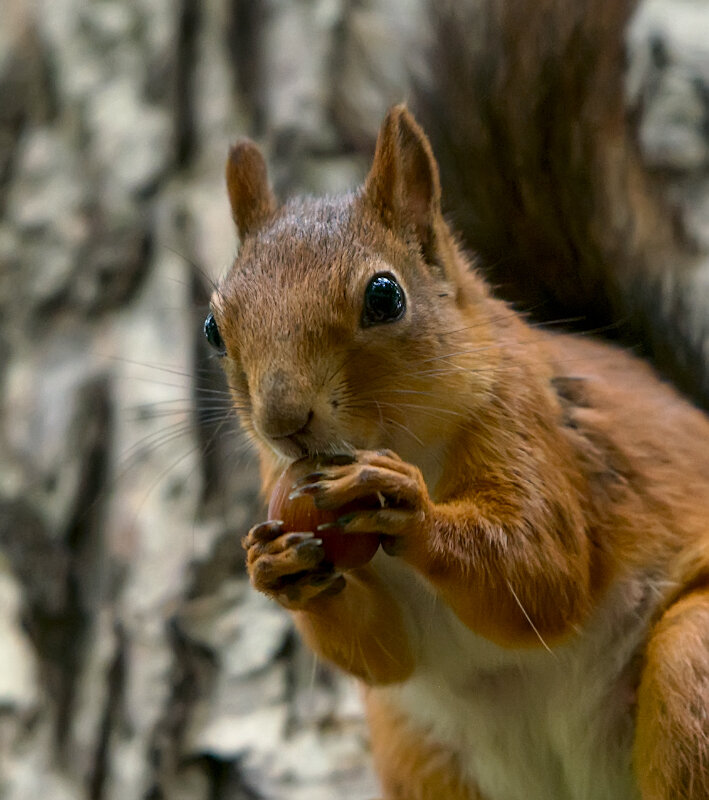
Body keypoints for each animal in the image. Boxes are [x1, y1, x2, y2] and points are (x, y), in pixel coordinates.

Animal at [206, 106, 709, 800]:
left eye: (385, 296)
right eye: (213, 329)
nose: (283, 421)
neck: (402, 440)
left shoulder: (529, 424)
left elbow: (543, 571)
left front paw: (403, 506)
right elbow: (383, 652)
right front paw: (277, 567)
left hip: (692, 663)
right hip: (419, 755)